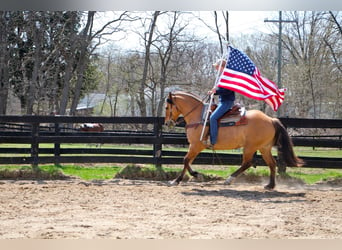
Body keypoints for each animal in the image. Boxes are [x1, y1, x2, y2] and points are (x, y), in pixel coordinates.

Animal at [164, 91, 304, 188]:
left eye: (166, 107)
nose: (167, 123)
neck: (198, 116)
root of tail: (270, 119)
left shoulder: (196, 145)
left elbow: (185, 160)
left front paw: (177, 180)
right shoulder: (194, 146)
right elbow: (188, 162)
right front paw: (195, 175)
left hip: (250, 147)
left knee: (247, 163)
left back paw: (229, 179)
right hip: (264, 148)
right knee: (272, 164)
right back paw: (270, 185)